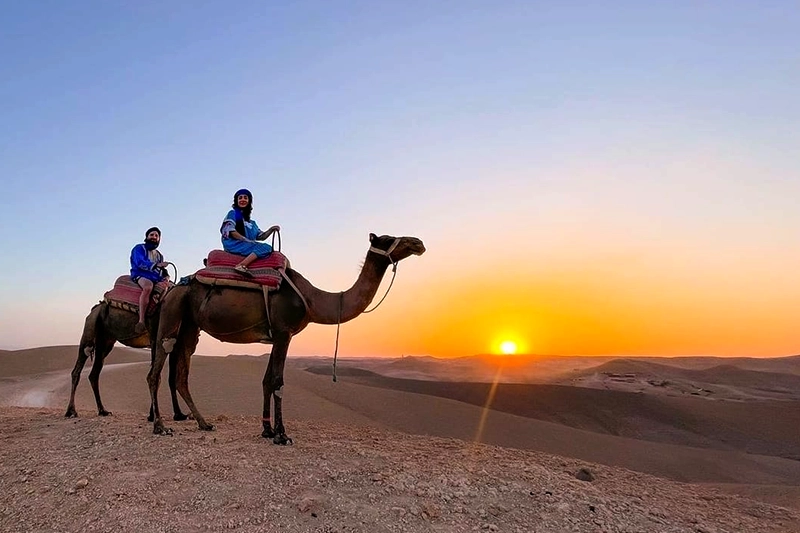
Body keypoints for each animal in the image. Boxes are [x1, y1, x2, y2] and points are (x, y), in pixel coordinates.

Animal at [148, 233, 424, 440]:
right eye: (388, 239)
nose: (418, 243)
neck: (312, 299)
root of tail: (173, 288)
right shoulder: (284, 332)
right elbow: (278, 382)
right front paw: (282, 435)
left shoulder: (276, 336)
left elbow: (266, 381)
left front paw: (267, 430)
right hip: (173, 313)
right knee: (157, 368)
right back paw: (160, 426)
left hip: (190, 325)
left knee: (182, 372)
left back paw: (204, 423)